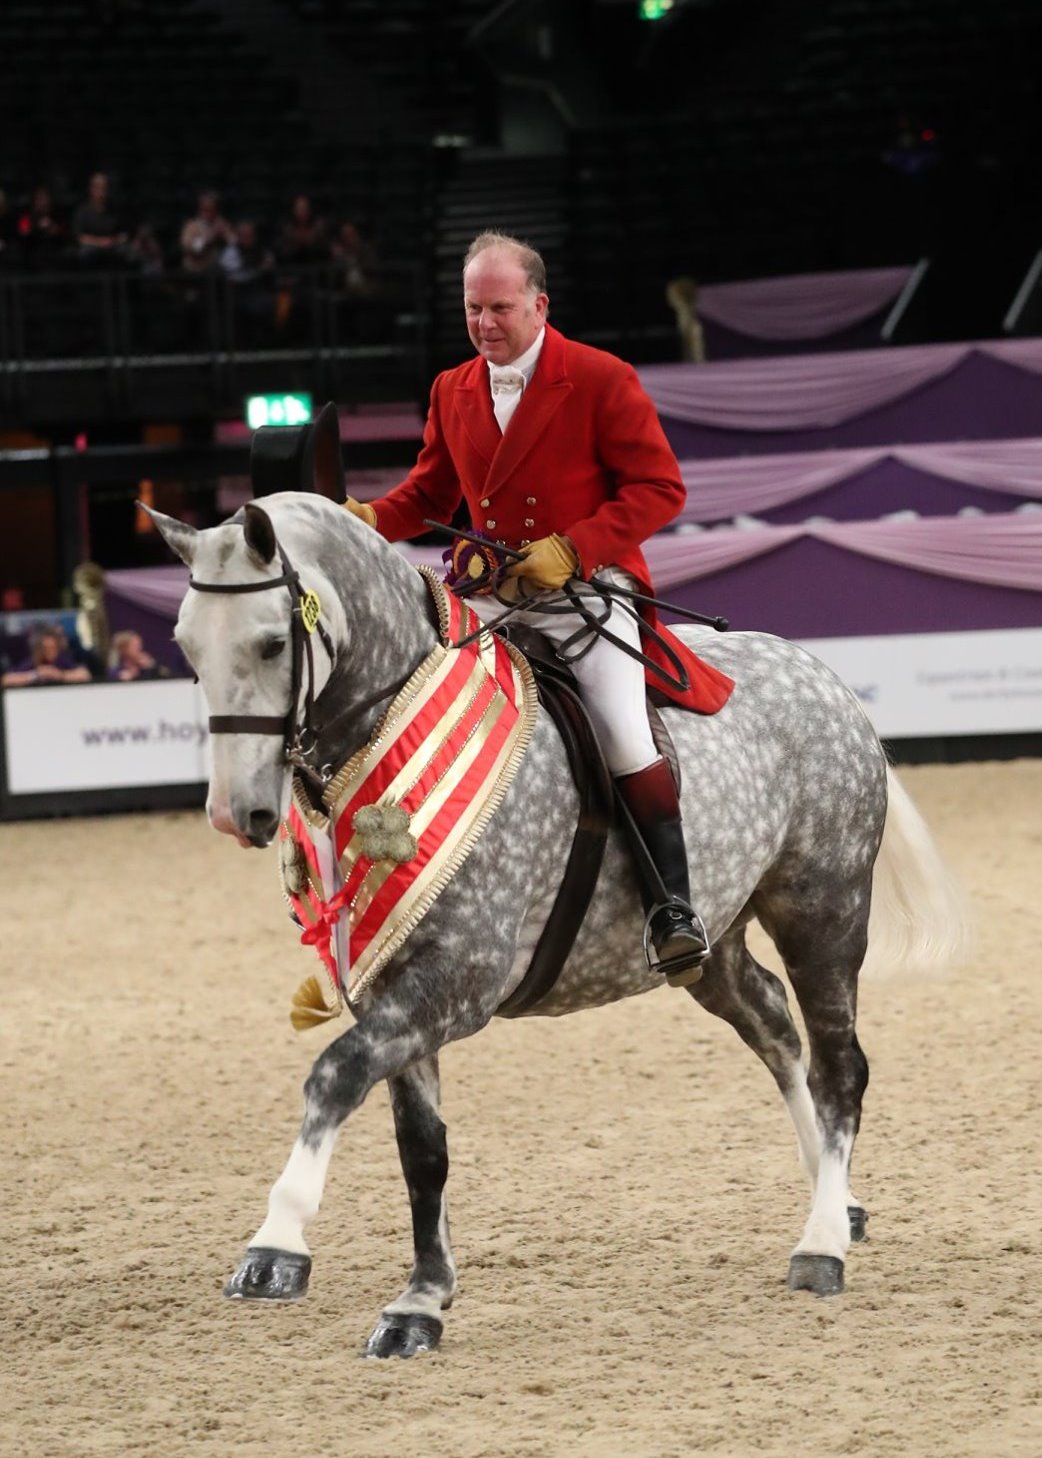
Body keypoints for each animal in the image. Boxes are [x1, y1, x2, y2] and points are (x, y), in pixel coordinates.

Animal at [150, 489, 967, 1353]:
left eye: (273, 643)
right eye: (187, 648)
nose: (237, 813)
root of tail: (822, 676)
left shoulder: (459, 981)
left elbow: (334, 1075)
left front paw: (277, 1243)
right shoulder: (395, 985)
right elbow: (422, 1149)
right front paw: (421, 1302)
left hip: (824, 910)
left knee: (839, 1067)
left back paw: (822, 1244)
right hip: (713, 942)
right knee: (776, 1029)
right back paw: (833, 1200)